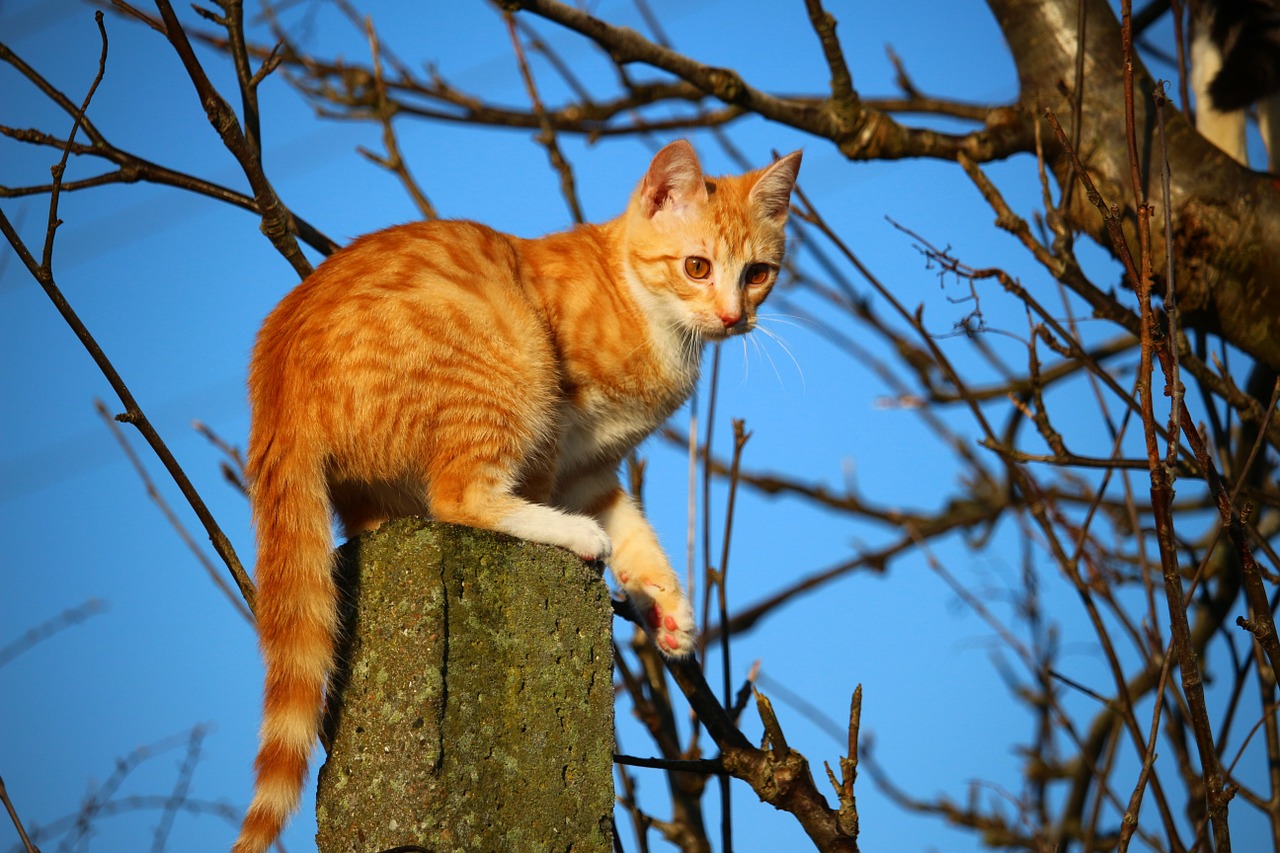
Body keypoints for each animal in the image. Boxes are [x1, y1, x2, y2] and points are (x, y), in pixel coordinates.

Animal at [230, 140, 798, 850]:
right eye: (697, 267)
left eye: (756, 273)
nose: (731, 316)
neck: (648, 316)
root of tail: (274, 379)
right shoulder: (554, 439)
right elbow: (554, 497)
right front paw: (594, 546)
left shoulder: (591, 470)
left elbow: (634, 533)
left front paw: (665, 607)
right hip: (510, 366)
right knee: (458, 495)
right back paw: (565, 533)